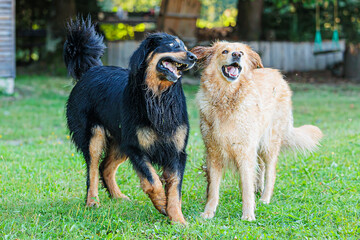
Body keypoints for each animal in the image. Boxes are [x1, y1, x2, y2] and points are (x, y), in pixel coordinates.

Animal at [63, 17, 195, 225]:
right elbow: (152, 181)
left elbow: (175, 189)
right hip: (94, 137)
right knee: (93, 169)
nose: (193, 57)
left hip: (120, 142)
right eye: (173, 45)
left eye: (184, 46)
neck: (159, 97)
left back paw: (118, 197)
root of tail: (92, 70)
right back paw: (92, 202)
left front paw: (177, 220)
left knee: (105, 168)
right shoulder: (136, 147)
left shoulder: (176, 151)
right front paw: (161, 203)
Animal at [193, 41, 322, 221]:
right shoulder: (214, 153)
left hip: (269, 143)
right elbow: (213, 189)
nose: (236, 55)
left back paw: (265, 198)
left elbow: (246, 186)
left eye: (241, 53)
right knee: (260, 167)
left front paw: (248, 214)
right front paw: (208, 212)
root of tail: (278, 75)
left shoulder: (245, 151)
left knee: (270, 172)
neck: (226, 97)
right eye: (225, 51)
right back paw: (258, 189)